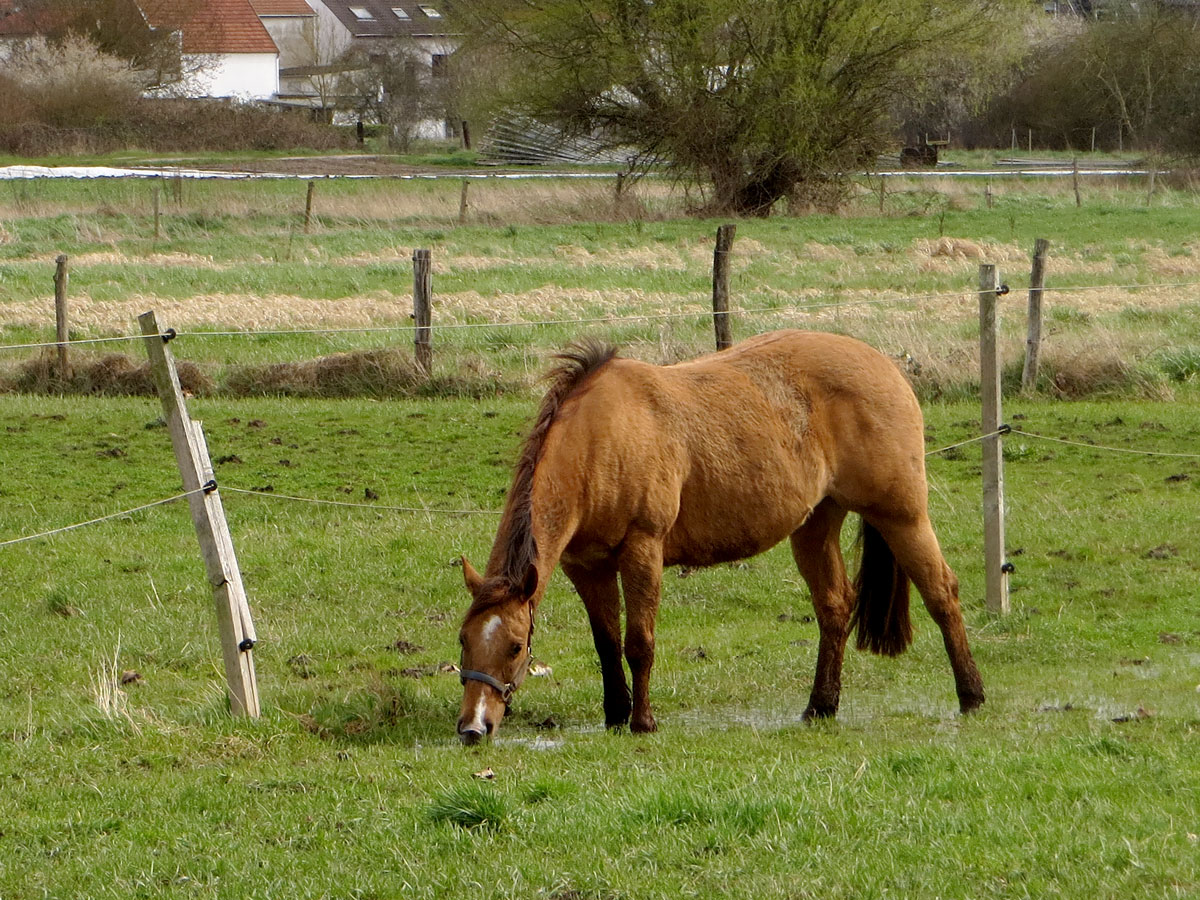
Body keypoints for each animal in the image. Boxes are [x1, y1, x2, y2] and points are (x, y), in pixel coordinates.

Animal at [456, 331, 984, 748]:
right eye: (463, 640)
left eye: (515, 647)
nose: (473, 728)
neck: (599, 439)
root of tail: (886, 366)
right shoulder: (587, 567)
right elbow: (607, 644)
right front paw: (615, 716)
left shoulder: (642, 550)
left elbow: (639, 642)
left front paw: (642, 721)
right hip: (815, 525)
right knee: (835, 606)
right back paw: (820, 706)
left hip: (902, 516)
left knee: (942, 593)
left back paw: (971, 695)